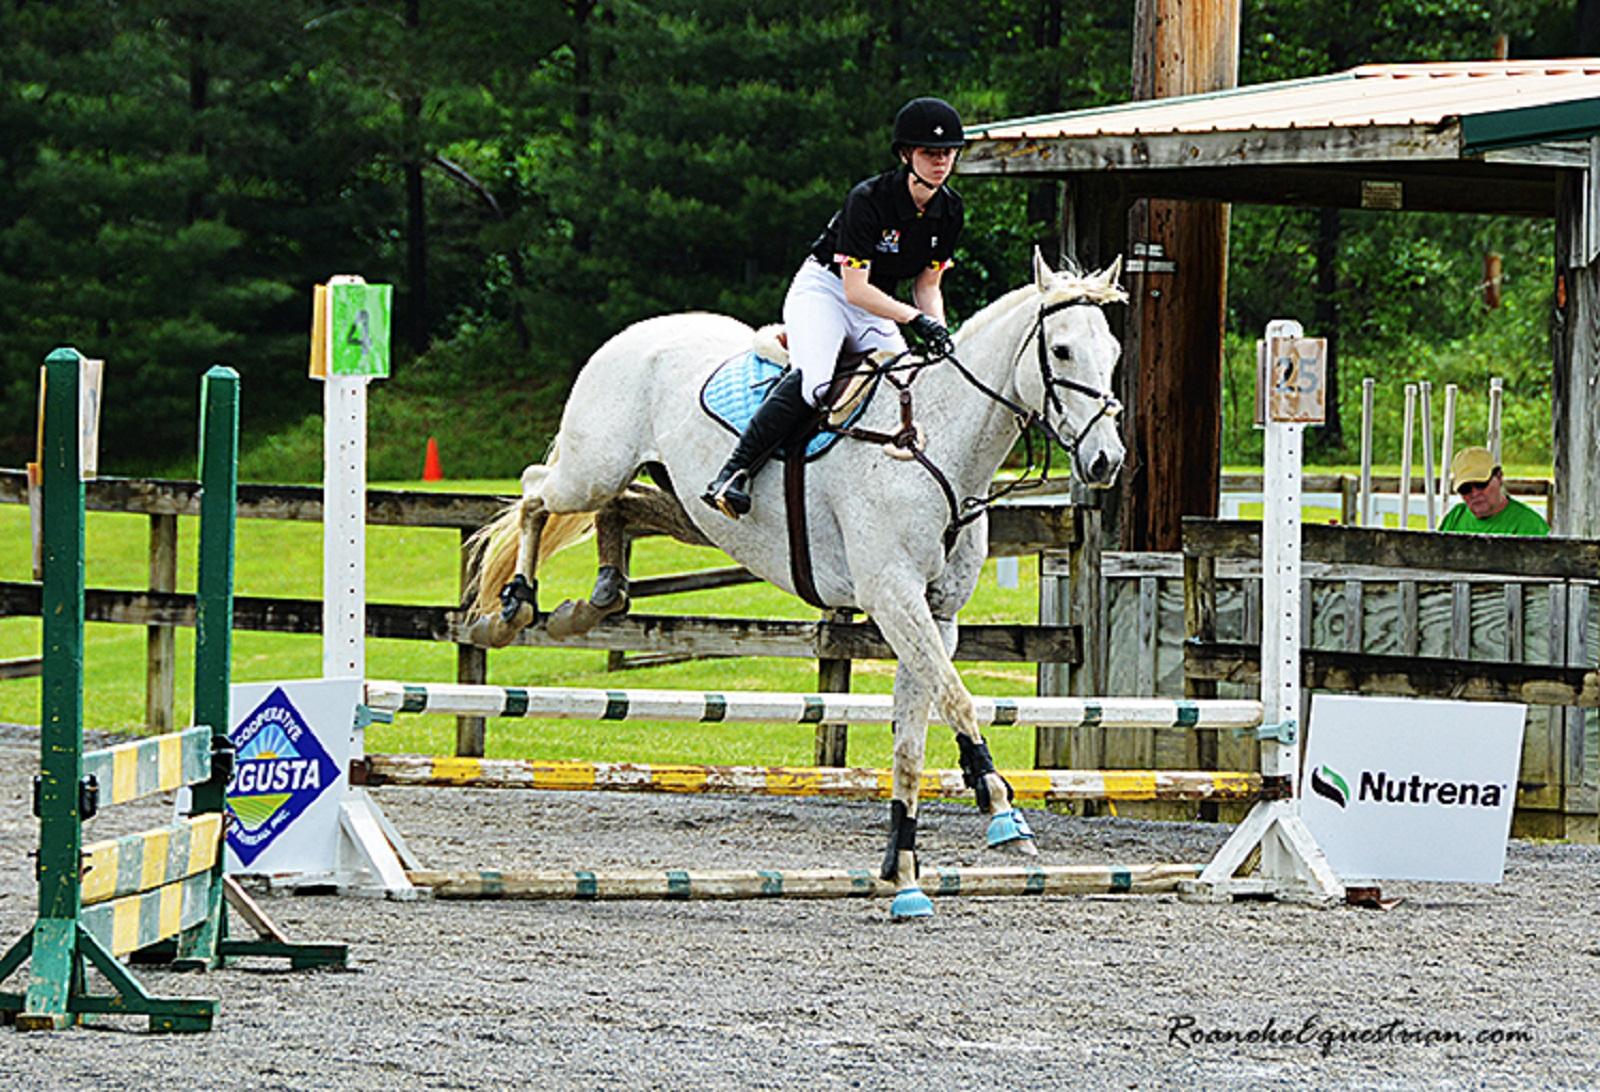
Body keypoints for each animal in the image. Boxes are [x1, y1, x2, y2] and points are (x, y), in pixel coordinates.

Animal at [467, 246, 1126, 909]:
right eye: (1062, 350)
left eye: (1114, 351)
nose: (1107, 461)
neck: (935, 441)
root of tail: (630, 335)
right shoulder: (893, 596)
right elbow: (958, 700)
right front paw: (1000, 811)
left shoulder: (936, 613)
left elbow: (913, 738)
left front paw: (903, 873)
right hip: (593, 467)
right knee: (535, 491)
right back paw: (512, 609)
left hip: (686, 508)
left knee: (619, 508)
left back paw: (592, 602)